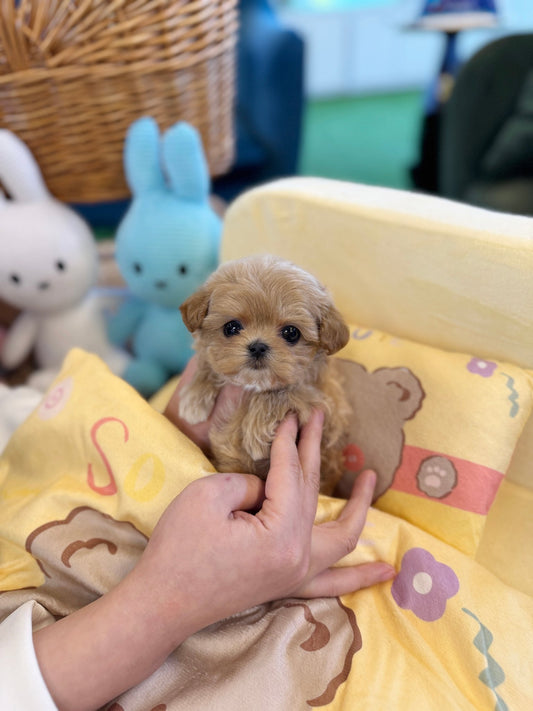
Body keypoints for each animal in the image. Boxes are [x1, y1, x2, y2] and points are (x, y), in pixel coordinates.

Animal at [179, 256, 352, 496]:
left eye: (291, 333)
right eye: (231, 327)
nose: (258, 346)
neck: (253, 385)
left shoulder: (328, 408)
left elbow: (285, 391)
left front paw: (256, 430)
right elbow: (209, 363)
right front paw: (194, 398)